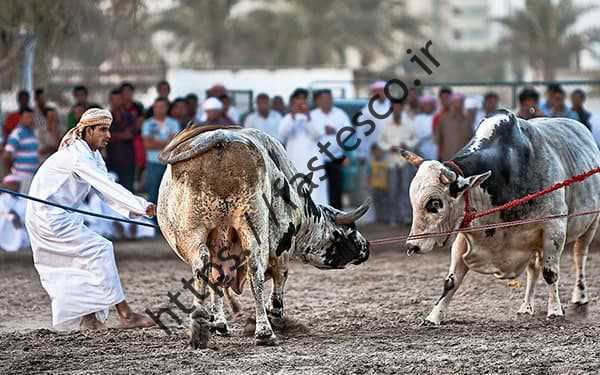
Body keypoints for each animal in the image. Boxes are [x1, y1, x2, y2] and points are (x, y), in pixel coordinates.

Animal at [157, 126, 368, 350]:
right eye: (350, 230)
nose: (366, 247)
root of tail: (221, 139)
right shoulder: (282, 244)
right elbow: (280, 276)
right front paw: (275, 313)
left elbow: (217, 283)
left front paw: (218, 323)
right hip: (252, 228)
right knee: (254, 271)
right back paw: (265, 332)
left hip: (193, 235)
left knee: (204, 267)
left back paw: (199, 329)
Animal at [400, 110, 600, 324]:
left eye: (435, 203)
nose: (412, 246)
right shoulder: (464, 236)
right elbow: (451, 281)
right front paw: (434, 316)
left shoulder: (554, 229)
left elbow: (550, 273)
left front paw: (555, 310)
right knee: (533, 269)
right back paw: (526, 306)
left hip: (590, 226)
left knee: (579, 257)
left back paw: (580, 298)